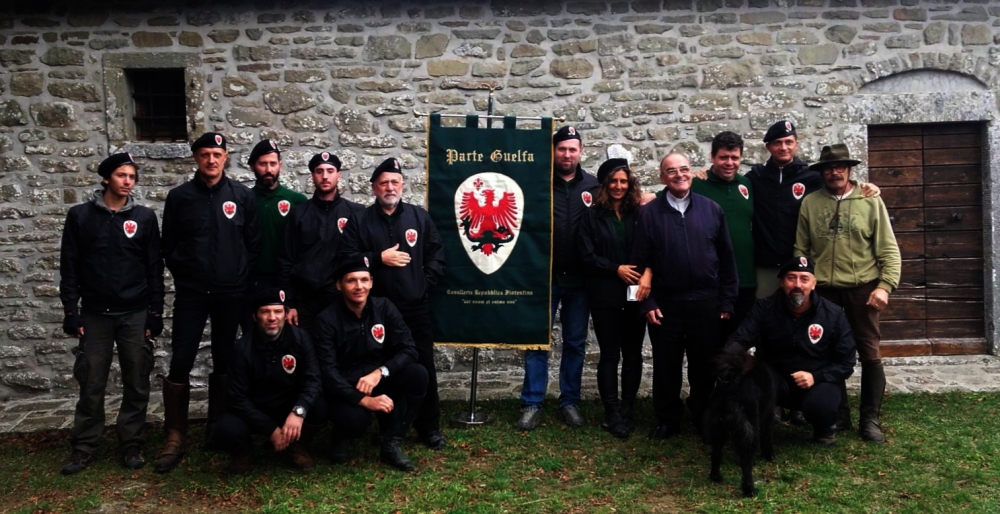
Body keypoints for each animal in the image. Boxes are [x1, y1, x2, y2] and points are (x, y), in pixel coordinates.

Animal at [700, 344, 776, 496]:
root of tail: (730, 384)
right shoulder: (766, 416)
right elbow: (767, 438)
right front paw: (769, 455)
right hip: (749, 428)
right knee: (746, 463)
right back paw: (750, 490)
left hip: (718, 428)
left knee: (716, 454)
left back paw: (715, 477)